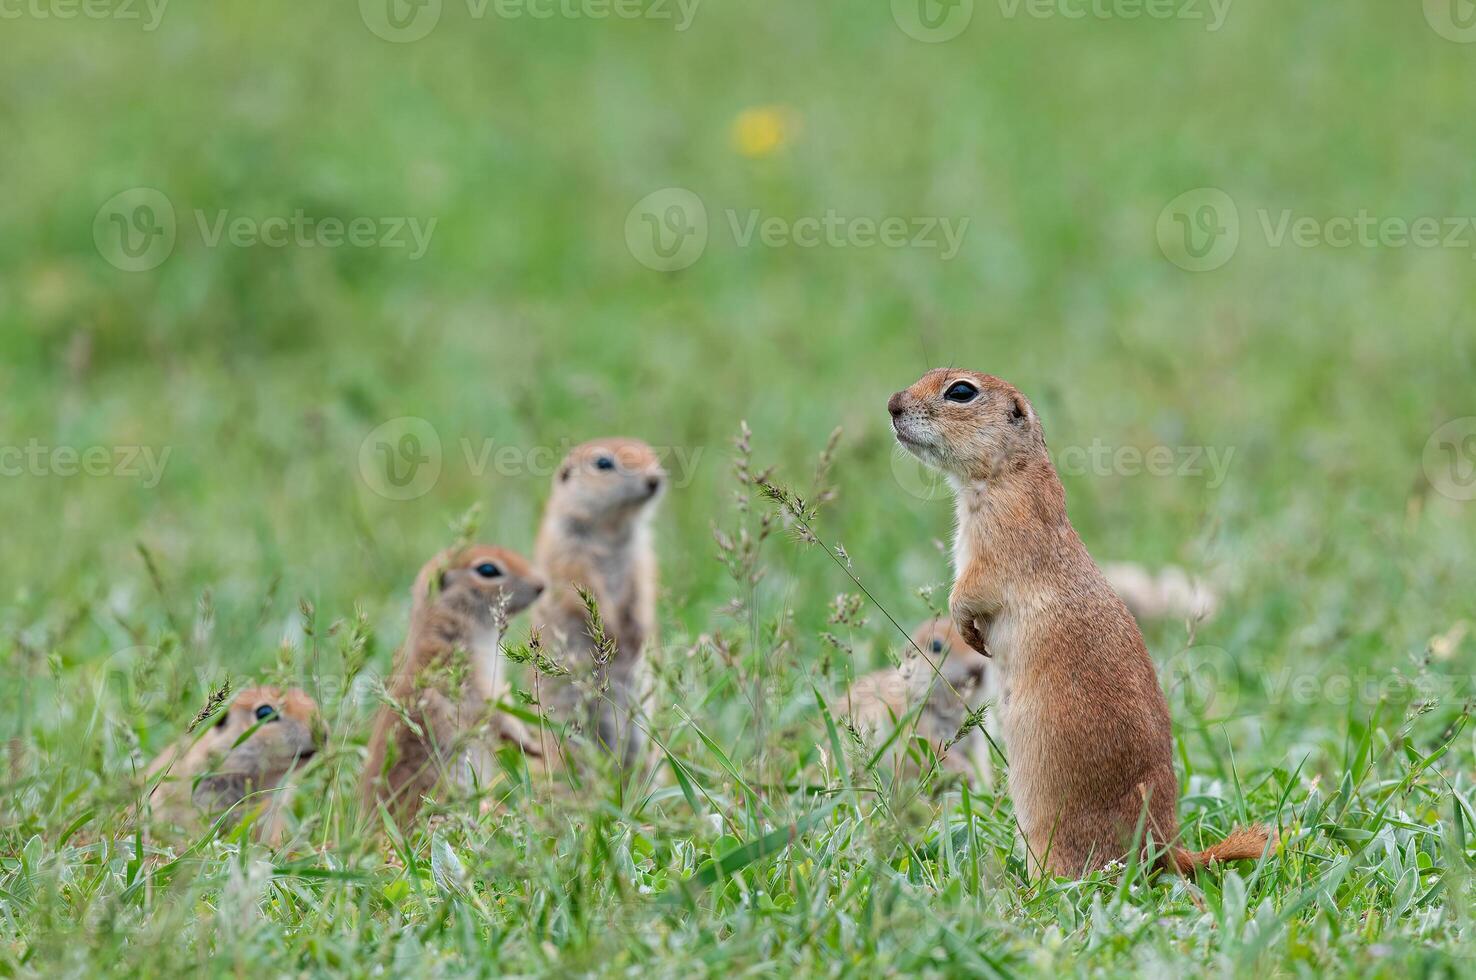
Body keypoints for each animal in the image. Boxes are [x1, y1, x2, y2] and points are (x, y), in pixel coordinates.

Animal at [531, 439, 664, 767]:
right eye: (603, 463)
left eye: (651, 453)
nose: (655, 479)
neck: (612, 529)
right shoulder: (567, 551)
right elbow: (578, 586)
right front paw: (612, 631)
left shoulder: (641, 556)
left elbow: (642, 590)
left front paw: (637, 632)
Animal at [838, 619, 997, 779]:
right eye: (936, 646)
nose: (977, 669)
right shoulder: (912, 727)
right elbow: (934, 751)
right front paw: (966, 773)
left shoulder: (977, 738)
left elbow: (980, 762)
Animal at [885, 371, 1269, 873]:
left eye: (961, 391)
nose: (892, 404)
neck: (1009, 474)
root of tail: (1166, 846)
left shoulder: (1001, 531)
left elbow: (974, 587)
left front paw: (967, 628)